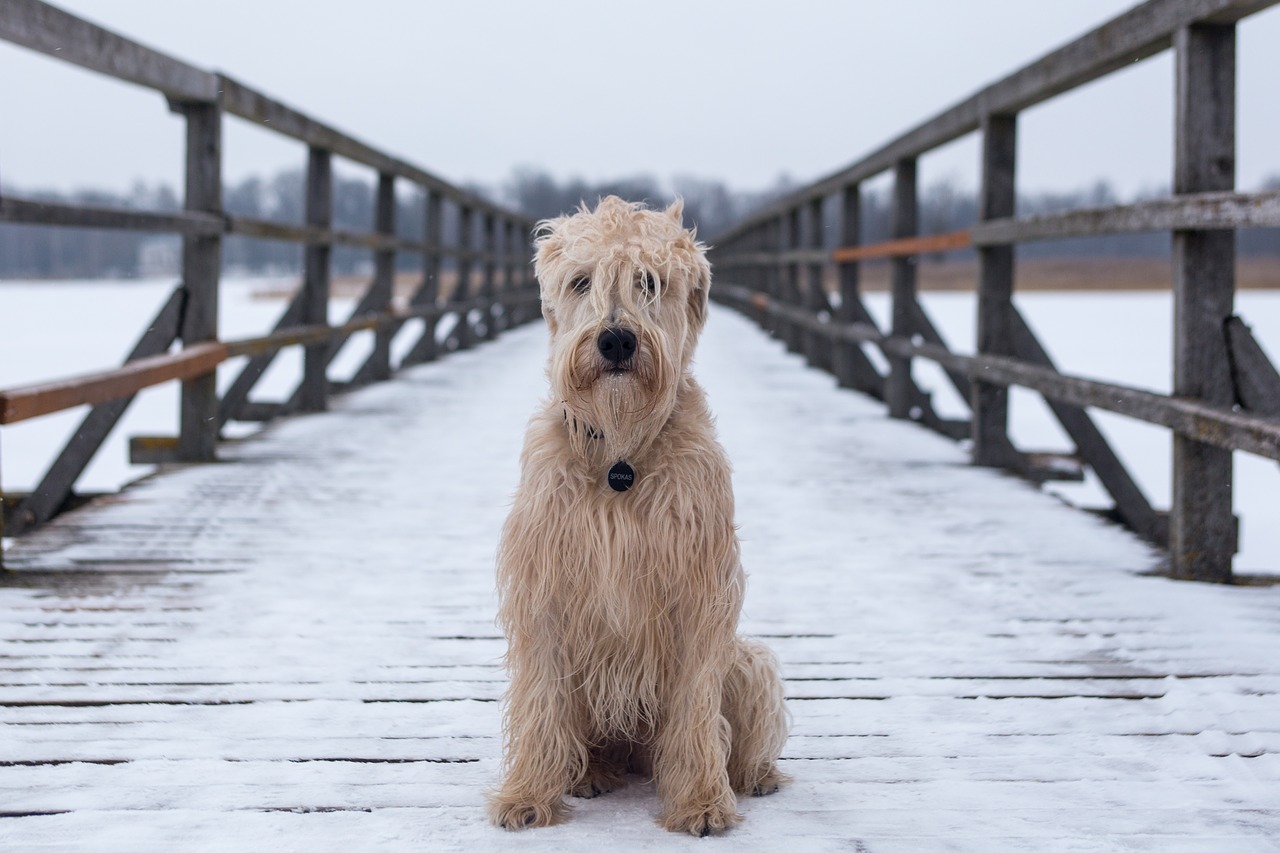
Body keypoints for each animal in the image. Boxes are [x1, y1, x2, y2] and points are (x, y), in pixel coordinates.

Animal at [488, 195, 788, 835]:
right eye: (581, 281)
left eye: (648, 281)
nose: (617, 342)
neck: (619, 454)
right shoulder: (544, 587)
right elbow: (540, 699)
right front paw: (526, 794)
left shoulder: (700, 592)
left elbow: (697, 707)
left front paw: (701, 801)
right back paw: (590, 772)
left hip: (748, 660)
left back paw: (755, 775)